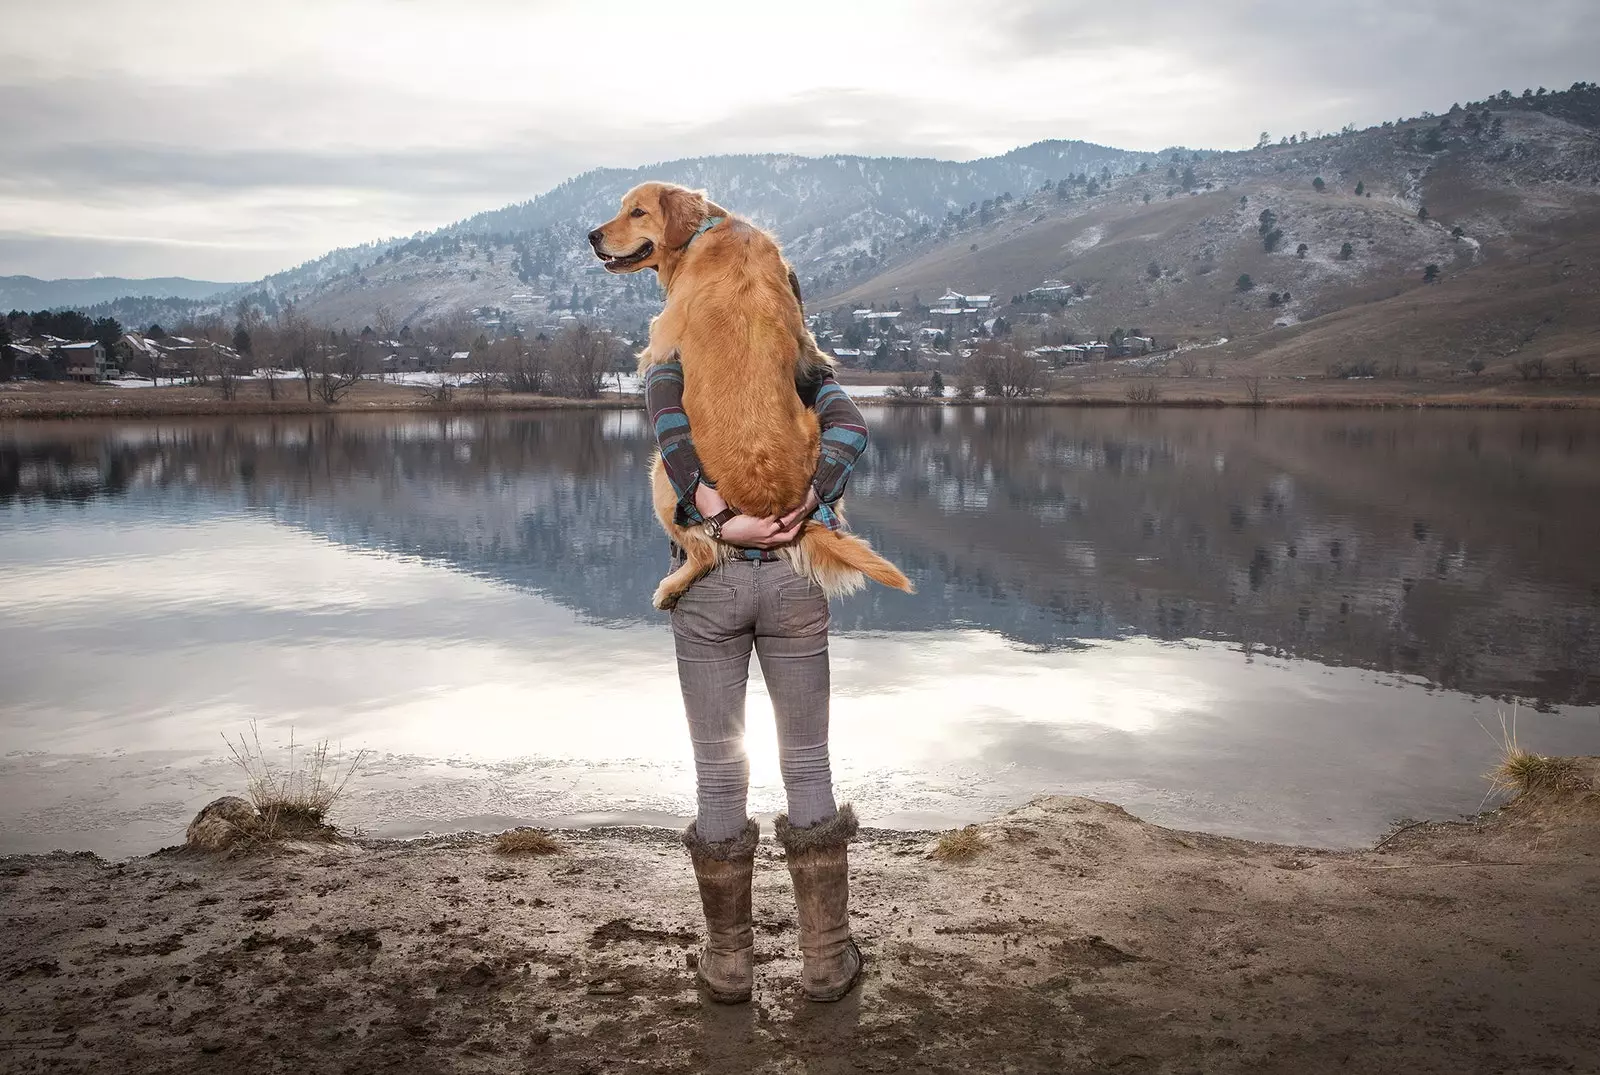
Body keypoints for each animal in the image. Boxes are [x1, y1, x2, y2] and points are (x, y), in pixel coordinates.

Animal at [588, 180, 915, 607]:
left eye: (637, 212)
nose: (591, 236)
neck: (705, 231)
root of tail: (773, 503)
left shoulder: (662, 338)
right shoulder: (804, 337)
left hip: (660, 472)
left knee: (706, 551)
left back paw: (670, 589)